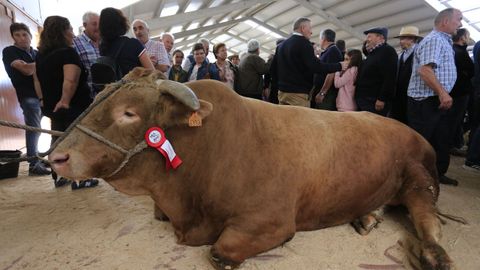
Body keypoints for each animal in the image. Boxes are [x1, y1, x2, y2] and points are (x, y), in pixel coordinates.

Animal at [49, 68, 454, 268]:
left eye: (129, 113)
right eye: (99, 97)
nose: (56, 157)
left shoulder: (270, 220)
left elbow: (222, 252)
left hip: (420, 177)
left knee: (427, 218)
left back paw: (434, 254)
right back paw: (367, 216)